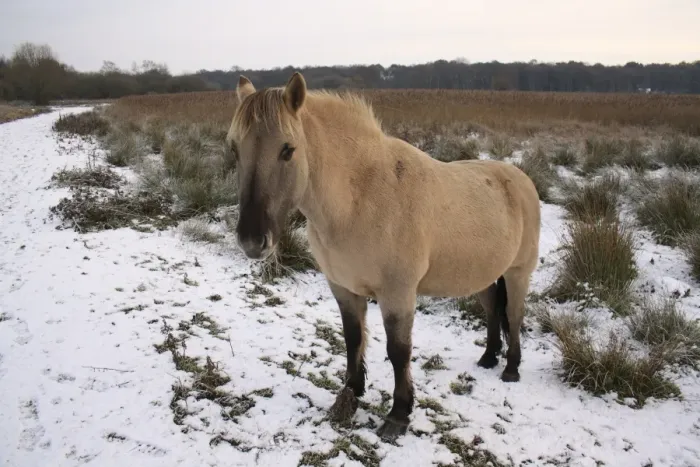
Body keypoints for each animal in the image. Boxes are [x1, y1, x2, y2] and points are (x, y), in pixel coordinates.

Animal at [226, 72, 541, 441]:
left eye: (288, 149)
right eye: (235, 149)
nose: (251, 241)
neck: (360, 198)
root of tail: (521, 180)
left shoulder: (397, 294)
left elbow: (398, 351)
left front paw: (398, 415)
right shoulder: (343, 287)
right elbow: (353, 337)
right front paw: (352, 390)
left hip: (518, 272)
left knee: (515, 316)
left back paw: (511, 369)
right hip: (481, 274)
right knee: (492, 308)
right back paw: (489, 358)